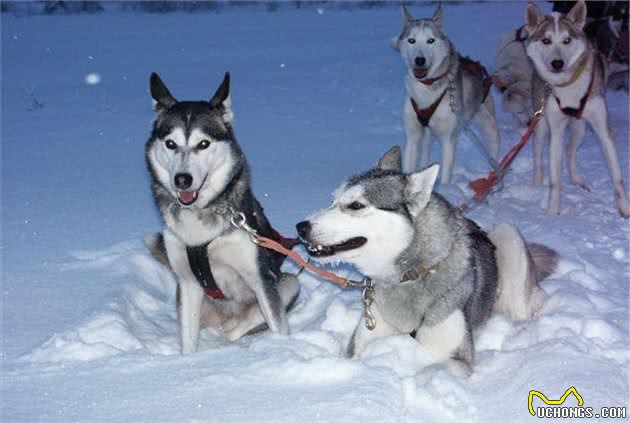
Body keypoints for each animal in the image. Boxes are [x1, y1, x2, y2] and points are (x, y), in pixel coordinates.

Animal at [146, 73, 302, 354]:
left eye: (203, 144)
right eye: (171, 144)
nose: (182, 179)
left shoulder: (259, 277)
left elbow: (276, 322)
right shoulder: (187, 283)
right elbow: (188, 341)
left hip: (287, 282)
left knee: (249, 318)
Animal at [298, 148, 560, 374]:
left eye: (356, 205)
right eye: (332, 201)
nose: (300, 227)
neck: (409, 275)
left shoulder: (457, 358)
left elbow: (428, 370)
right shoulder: (360, 343)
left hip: (509, 236)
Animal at [396, 4, 504, 184]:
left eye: (430, 40)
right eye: (411, 40)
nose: (419, 60)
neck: (426, 90)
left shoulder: (448, 140)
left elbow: (445, 175)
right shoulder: (412, 137)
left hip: (489, 125)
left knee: (493, 149)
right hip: (427, 136)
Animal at [524, 0, 628, 217]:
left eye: (567, 40)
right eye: (546, 40)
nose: (557, 63)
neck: (568, 85)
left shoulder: (602, 129)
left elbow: (617, 178)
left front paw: (625, 209)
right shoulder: (555, 132)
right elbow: (554, 181)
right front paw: (552, 213)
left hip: (580, 129)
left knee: (570, 153)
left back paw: (577, 181)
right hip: (541, 125)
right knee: (538, 157)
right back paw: (536, 186)